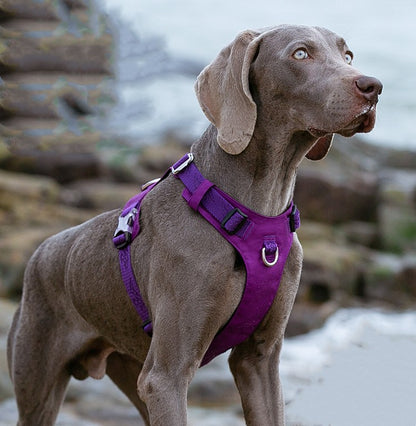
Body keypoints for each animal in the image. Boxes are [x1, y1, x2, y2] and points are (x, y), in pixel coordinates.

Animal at [8, 25, 382, 426]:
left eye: (347, 55)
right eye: (300, 54)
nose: (373, 86)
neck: (256, 215)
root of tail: (39, 254)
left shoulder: (259, 361)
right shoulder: (166, 377)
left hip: (132, 366)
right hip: (43, 382)